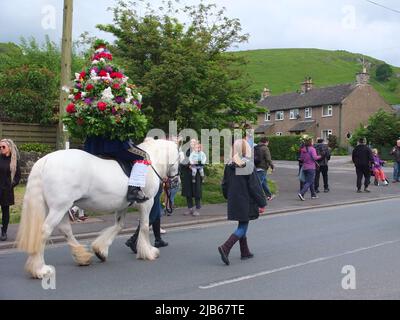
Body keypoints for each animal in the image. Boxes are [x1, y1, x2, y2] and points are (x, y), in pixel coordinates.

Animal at [16, 139, 180, 278]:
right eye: (180, 157)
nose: (176, 181)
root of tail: (46, 159)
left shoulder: (122, 206)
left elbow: (118, 226)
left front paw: (100, 250)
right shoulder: (147, 203)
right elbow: (145, 226)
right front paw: (149, 252)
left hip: (61, 207)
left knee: (65, 230)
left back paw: (82, 257)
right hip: (59, 207)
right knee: (45, 231)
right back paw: (39, 269)